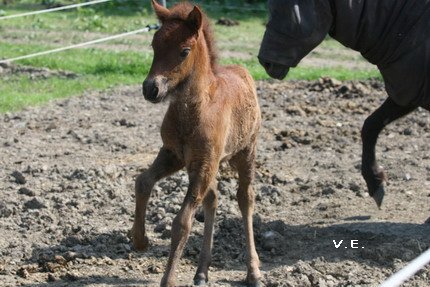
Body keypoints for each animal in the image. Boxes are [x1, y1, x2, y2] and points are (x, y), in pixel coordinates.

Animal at [132, 1, 262, 286]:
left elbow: (182, 222)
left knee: (245, 198)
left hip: (245, 152)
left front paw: (168, 280)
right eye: (154, 45)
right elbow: (143, 181)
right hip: (205, 165)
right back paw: (201, 271)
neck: (194, 110)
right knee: (212, 199)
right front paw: (139, 240)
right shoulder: (173, 154)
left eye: (184, 51)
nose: (150, 89)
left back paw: (253, 272)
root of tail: (243, 70)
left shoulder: (203, 163)